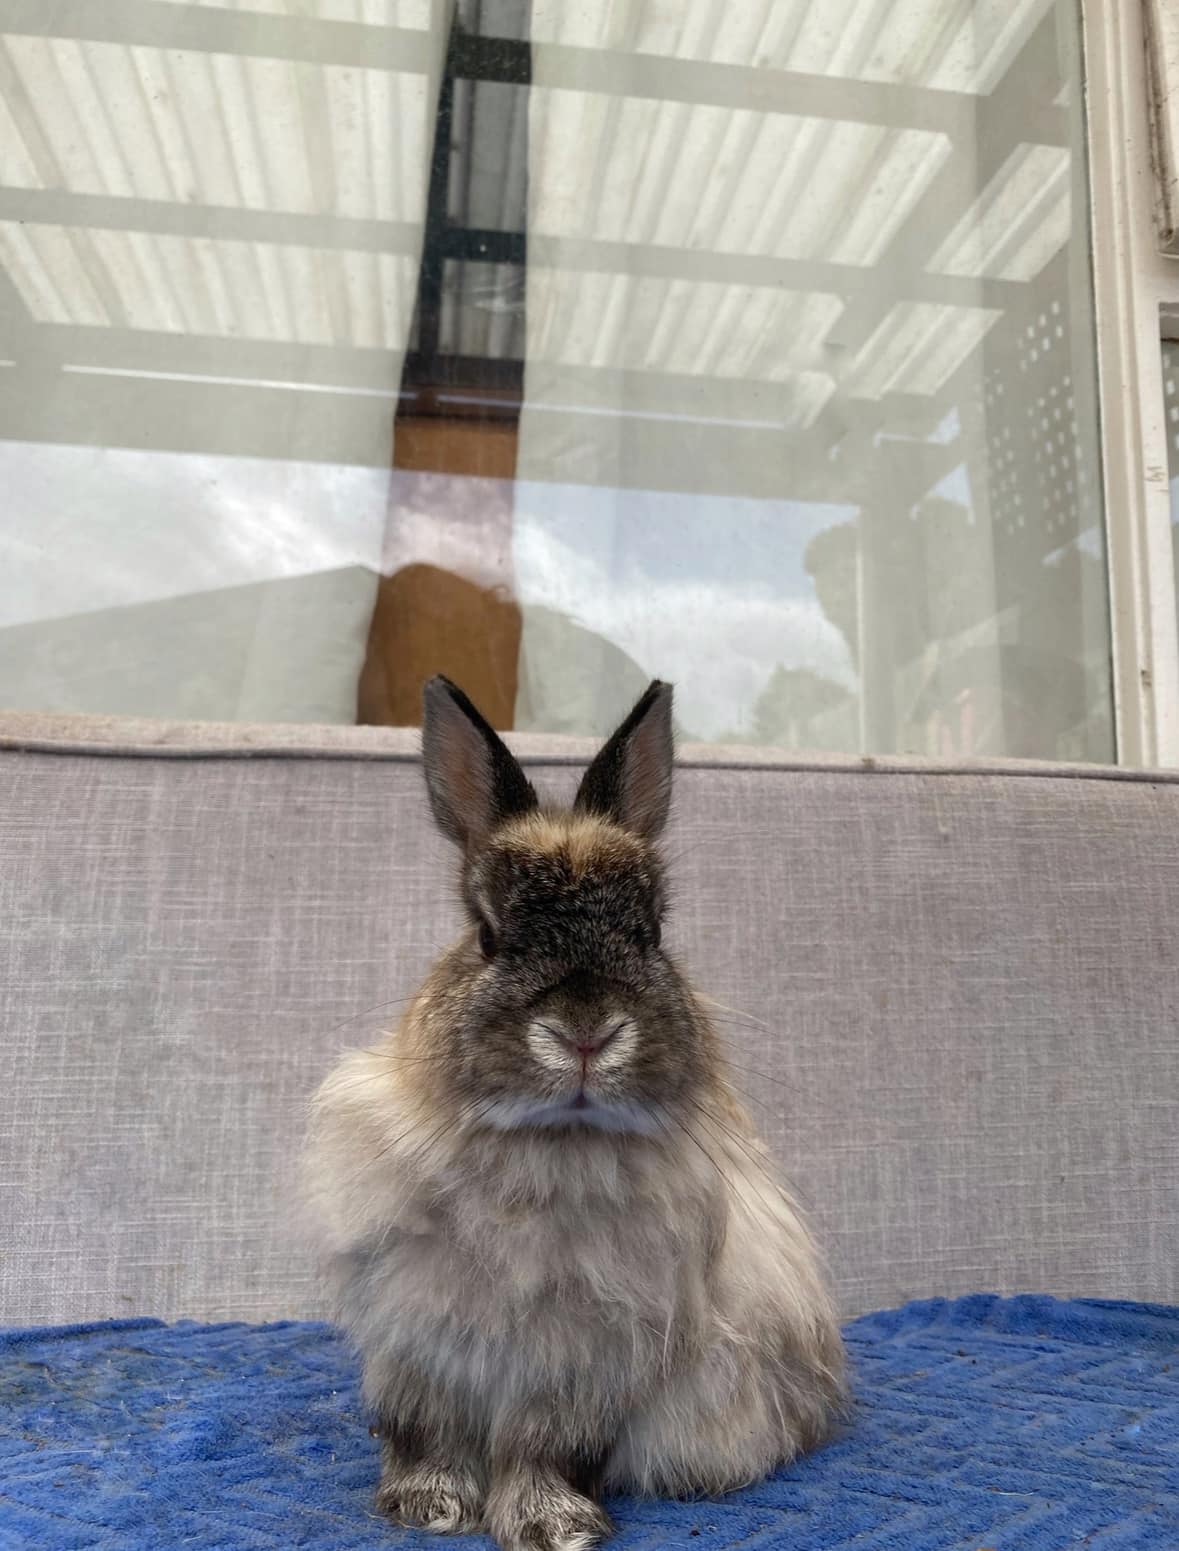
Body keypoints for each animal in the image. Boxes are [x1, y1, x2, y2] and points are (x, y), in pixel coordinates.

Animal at [305, 676, 846, 1551]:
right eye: (487, 934)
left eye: (651, 932)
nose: (585, 1032)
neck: (548, 1145)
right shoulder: (420, 1340)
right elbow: (427, 1432)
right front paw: (428, 1505)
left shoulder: (584, 1358)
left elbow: (546, 1445)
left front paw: (552, 1525)